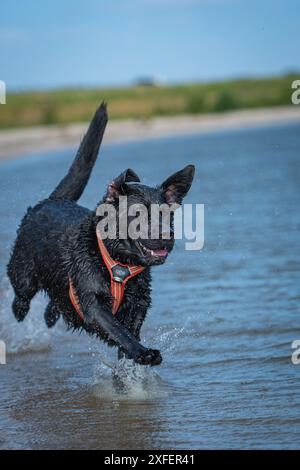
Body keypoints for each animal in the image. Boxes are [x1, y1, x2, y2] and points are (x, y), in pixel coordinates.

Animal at [7, 103, 195, 368]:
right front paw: (143, 352)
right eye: (138, 214)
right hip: (23, 274)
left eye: (166, 214)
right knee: (21, 298)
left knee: (55, 302)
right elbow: (118, 330)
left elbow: (129, 331)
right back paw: (21, 309)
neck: (117, 262)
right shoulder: (94, 304)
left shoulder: (137, 305)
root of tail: (53, 200)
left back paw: (50, 315)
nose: (166, 235)